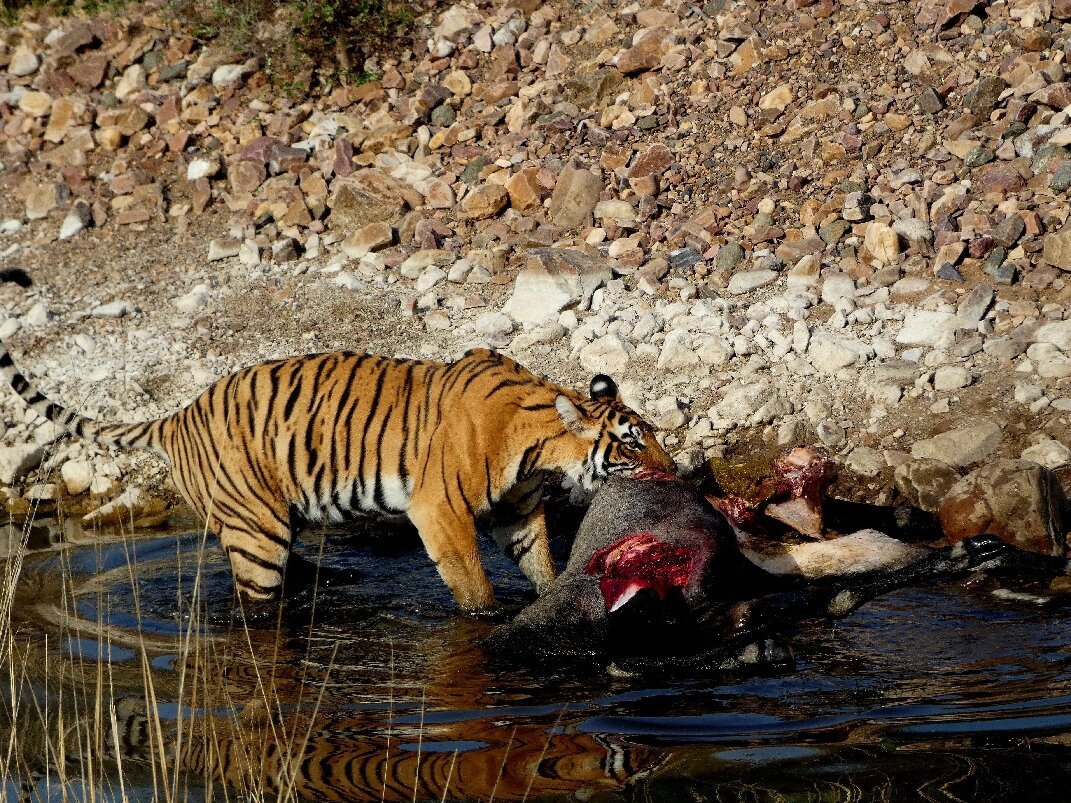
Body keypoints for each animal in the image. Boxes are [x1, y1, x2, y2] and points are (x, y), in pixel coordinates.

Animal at [0, 344, 675, 611]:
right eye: (634, 443)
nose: (674, 475)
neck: (541, 445)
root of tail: (178, 415)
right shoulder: (440, 510)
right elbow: (472, 584)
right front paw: (488, 617)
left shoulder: (518, 514)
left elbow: (540, 565)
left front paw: (553, 598)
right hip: (257, 535)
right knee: (255, 603)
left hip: (276, 522)